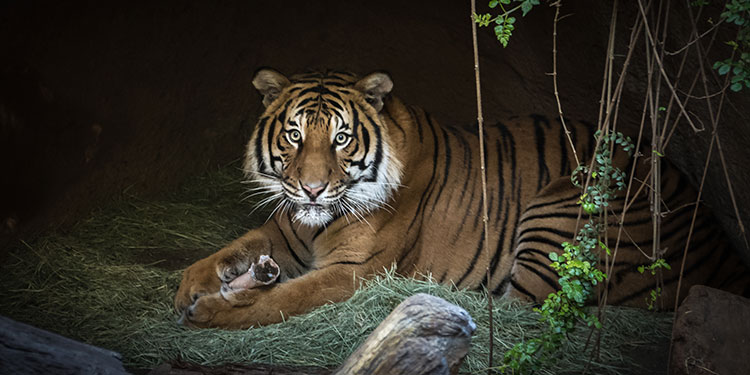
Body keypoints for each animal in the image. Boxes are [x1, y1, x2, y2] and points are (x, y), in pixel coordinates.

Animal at [173, 70, 748, 328]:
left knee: (520, 309)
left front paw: (214, 310)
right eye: (294, 136)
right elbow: (230, 249)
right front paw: (190, 288)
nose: (312, 188)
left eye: (341, 138)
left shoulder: (354, 271)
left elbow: (287, 298)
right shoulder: (285, 233)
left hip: (563, 209)